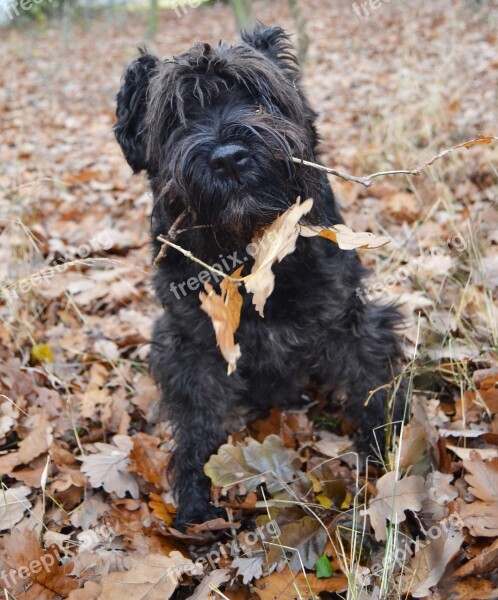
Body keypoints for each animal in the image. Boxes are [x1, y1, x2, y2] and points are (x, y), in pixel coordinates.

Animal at [114, 24, 404, 528]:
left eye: (257, 95)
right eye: (175, 116)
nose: (229, 157)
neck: (252, 250)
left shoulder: (347, 317)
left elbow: (368, 380)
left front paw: (382, 450)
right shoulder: (192, 344)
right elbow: (197, 421)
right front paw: (195, 495)